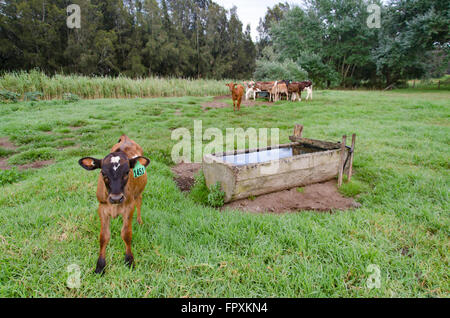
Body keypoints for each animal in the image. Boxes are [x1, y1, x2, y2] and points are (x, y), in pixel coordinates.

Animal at [79, 134, 151, 274]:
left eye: (127, 172)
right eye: (103, 173)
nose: (116, 198)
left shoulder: (129, 206)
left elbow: (126, 234)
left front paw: (129, 260)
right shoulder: (102, 207)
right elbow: (103, 237)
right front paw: (100, 266)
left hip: (138, 192)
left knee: (139, 201)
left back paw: (139, 221)